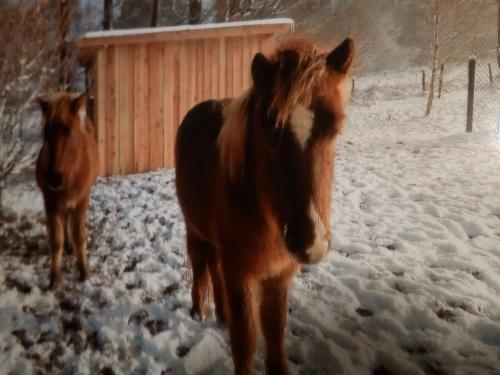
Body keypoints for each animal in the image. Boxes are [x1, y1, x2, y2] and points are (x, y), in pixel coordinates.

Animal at [36, 92, 98, 290]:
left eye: (68, 130)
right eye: (46, 132)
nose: (53, 178)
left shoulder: (81, 201)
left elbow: (79, 236)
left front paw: (84, 272)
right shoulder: (50, 203)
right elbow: (56, 241)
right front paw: (54, 279)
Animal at [176, 36, 356, 374]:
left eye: (336, 127)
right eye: (270, 129)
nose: (310, 243)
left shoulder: (279, 274)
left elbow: (274, 332)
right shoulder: (240, 272)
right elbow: (245, 340)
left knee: (214, 266)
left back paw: (221, 313)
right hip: (195, 228)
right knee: (199, 261)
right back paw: (199, 309)